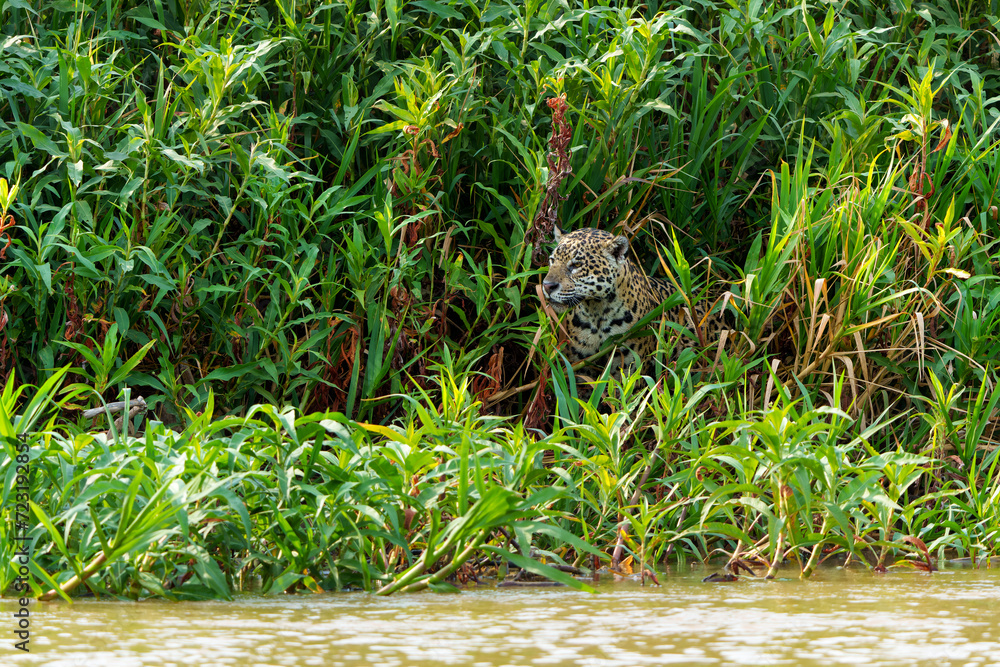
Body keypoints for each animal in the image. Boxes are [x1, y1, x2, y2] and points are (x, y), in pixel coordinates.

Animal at [541, 226, 730, 375]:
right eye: (552, 260)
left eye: (576, 265)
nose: (547, 286)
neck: (597, 313)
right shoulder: (578, 366)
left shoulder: (629, 366)